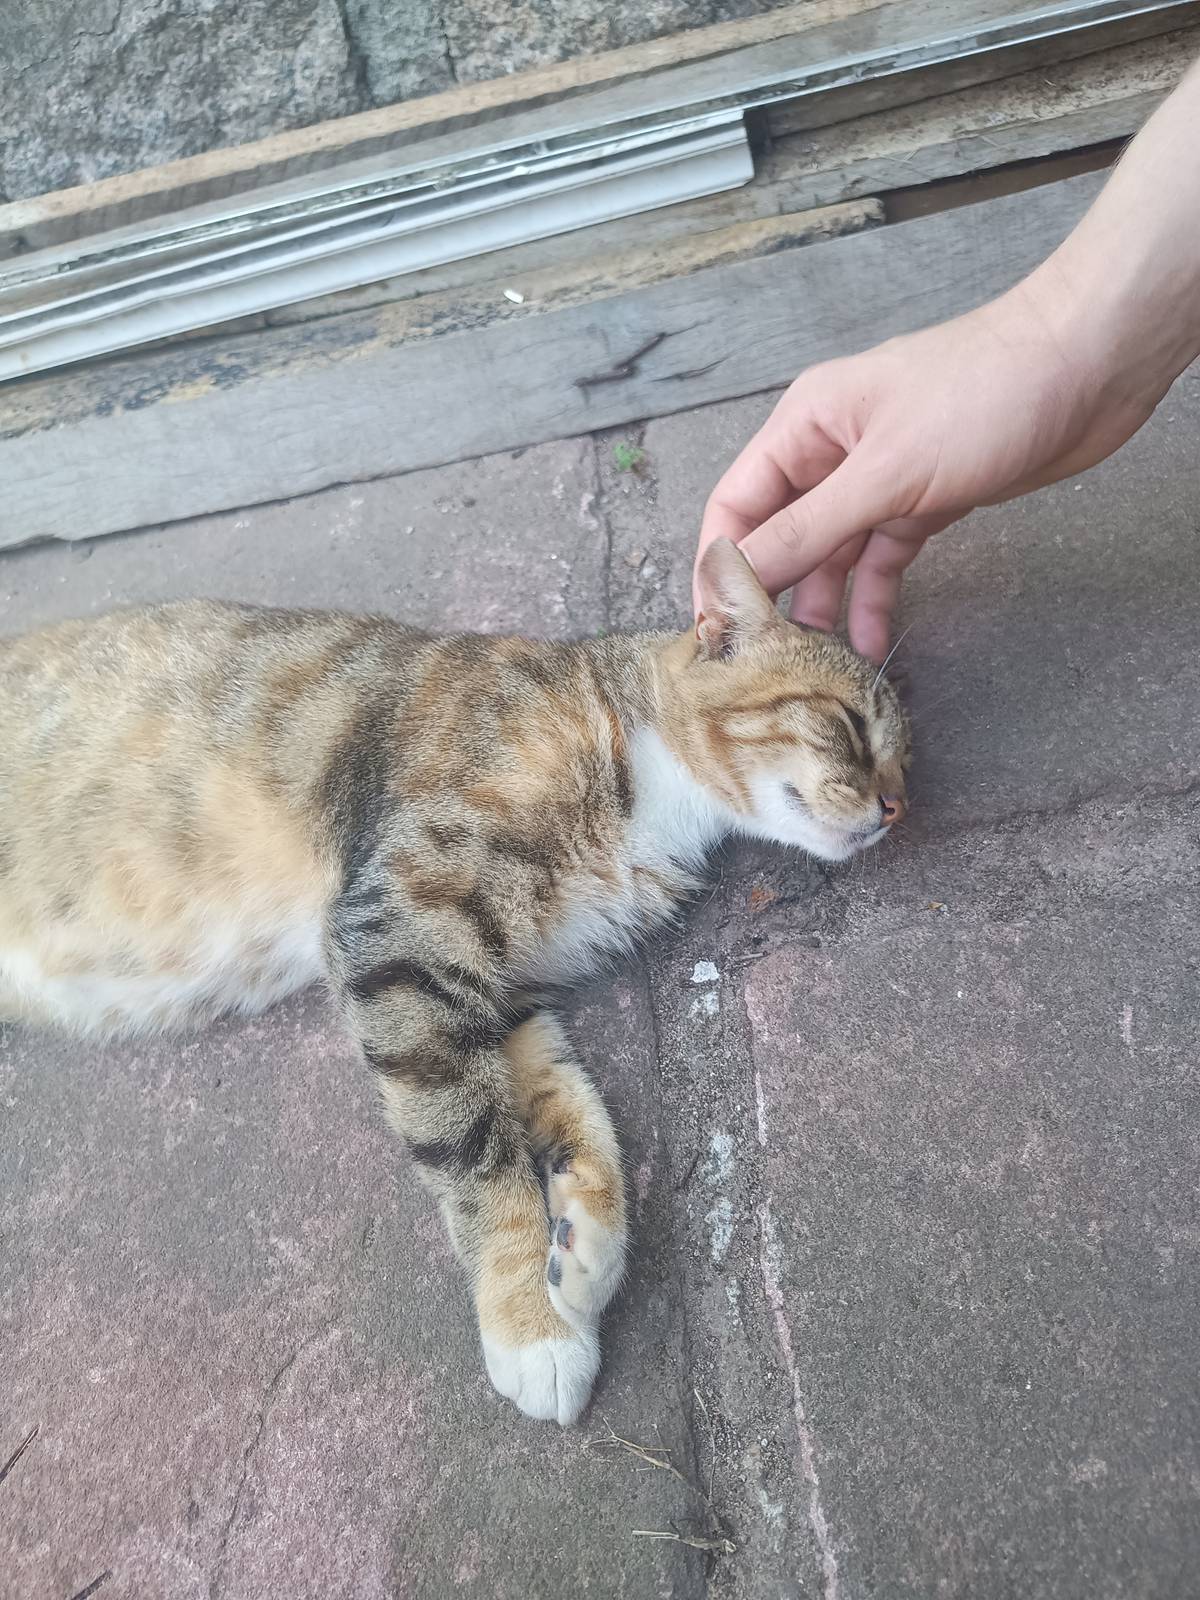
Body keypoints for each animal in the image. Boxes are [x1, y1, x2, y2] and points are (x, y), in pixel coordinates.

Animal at [0, 537, 909, 1425]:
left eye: (903, 758)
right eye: (846, 722)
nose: (899, 806)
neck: (639, 766)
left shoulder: (502, 992)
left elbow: (577, 1113)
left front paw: (584, 1251)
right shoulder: (403, 931)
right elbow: (477, 1153)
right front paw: (532, 1322)